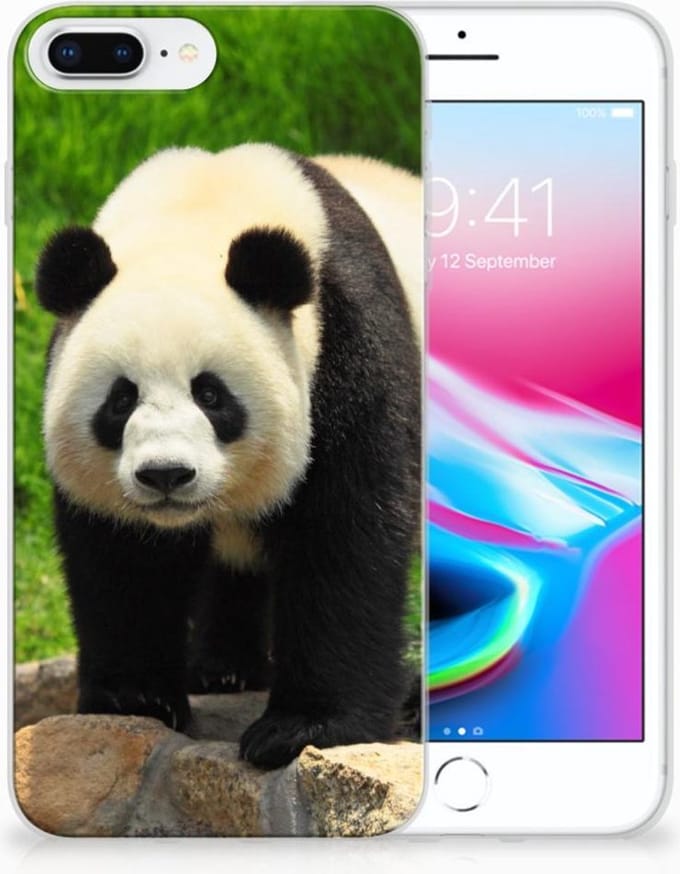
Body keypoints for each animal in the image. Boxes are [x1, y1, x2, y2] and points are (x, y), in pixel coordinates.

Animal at [35, 144, 421, 769]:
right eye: (121, 399)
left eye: (211, 394)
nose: (166, 475)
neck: (200, 210)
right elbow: (124, 558)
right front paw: (135, 698)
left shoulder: (349, 348)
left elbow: (346, 534)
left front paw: (303, 728)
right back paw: (222, 669)